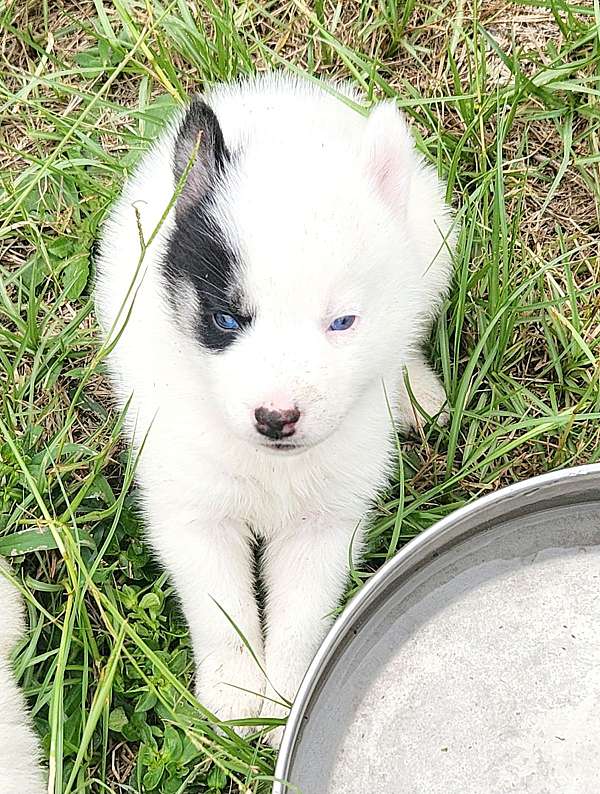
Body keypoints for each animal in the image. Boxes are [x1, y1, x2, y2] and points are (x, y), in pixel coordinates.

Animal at [94, 69, 452, 744]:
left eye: (342, 322)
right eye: (226, 320)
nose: (276, 418)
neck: (271, 467)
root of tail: (277, 91)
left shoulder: (327, 520)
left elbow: (302, 615)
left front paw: (286, 698)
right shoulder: (192, 509)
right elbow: (220, 608)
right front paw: (236, 699)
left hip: (431, 248)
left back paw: (415, 391)